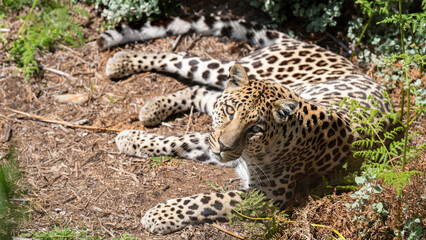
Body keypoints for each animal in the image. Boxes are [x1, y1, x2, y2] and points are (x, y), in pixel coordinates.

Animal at [97, 15, 392, 235]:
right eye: (230, 112)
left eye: (255, 129)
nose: (223, 147)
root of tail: (306, 43)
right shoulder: (218, 142)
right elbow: (179, 139)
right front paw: (131, 139)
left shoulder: (267, 196)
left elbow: (206, 200)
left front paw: (160, 214)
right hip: (244, 67)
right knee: (180, 59)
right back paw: (121, 62)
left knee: (199, 91)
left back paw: (151, 106)